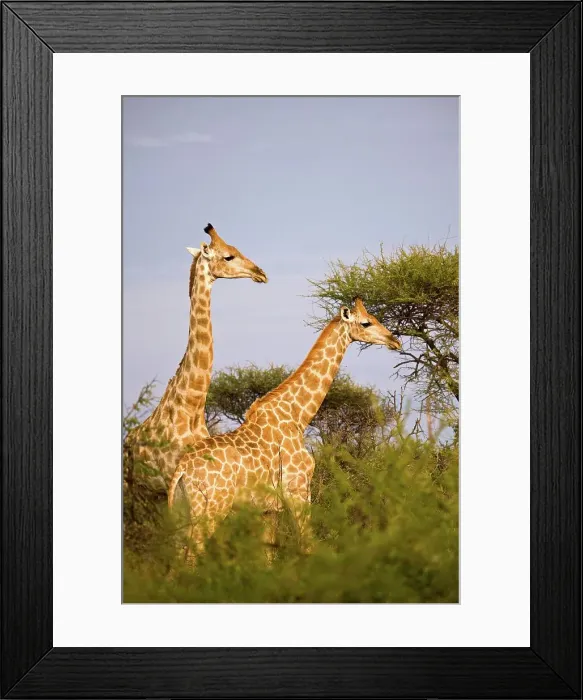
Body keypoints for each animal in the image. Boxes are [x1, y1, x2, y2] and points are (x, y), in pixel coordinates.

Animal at [168, 297, 401, 552]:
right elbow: (307, 544)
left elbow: (267, 552)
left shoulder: (268, 508)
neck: (298, 415)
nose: (395, 341)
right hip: (213, 505)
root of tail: (182, 470)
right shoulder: (298, 490)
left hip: (183, 509)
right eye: (366, 322)